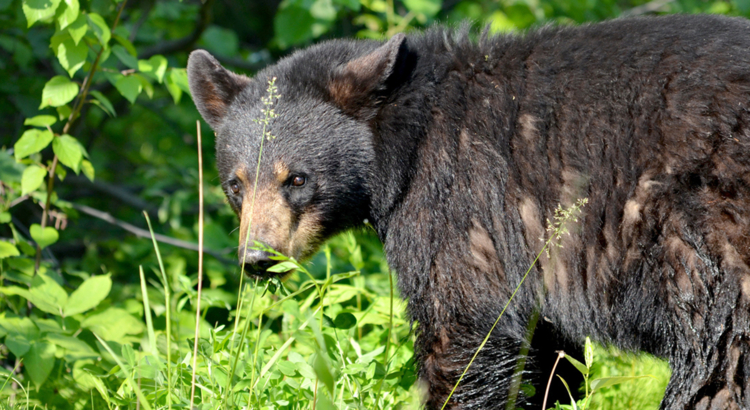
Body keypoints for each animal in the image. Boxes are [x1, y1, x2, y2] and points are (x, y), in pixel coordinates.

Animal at [187, 13, 750, 410]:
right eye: (235, 184)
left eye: (297, 179)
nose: (258, 258)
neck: (405, 136)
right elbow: (546, 355)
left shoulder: (459, 202)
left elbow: (462, 326)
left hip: (708, 240)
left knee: (716, 362)